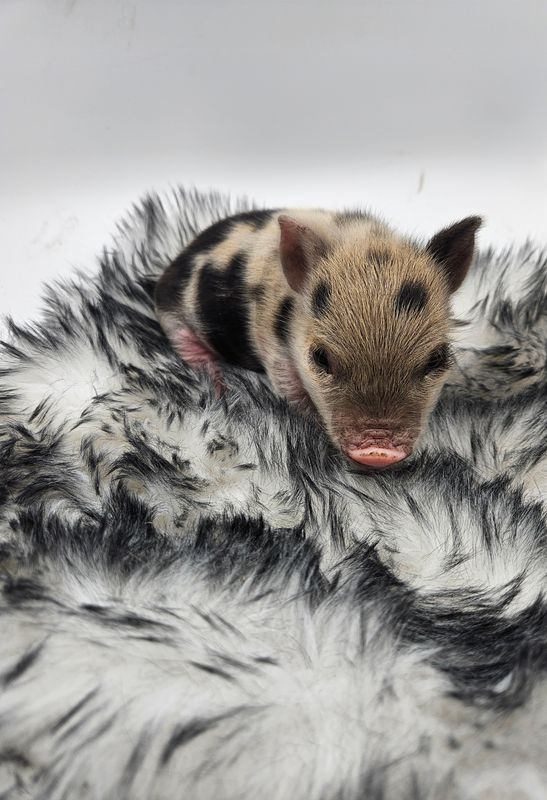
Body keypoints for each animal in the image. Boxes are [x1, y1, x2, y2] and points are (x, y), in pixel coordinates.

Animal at [154, 208, 481, 468]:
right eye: (321, 358)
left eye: (436, 359)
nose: (378, 451)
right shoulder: (273, 345)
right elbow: (289, 387)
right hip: (174, 311)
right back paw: (217, 383)